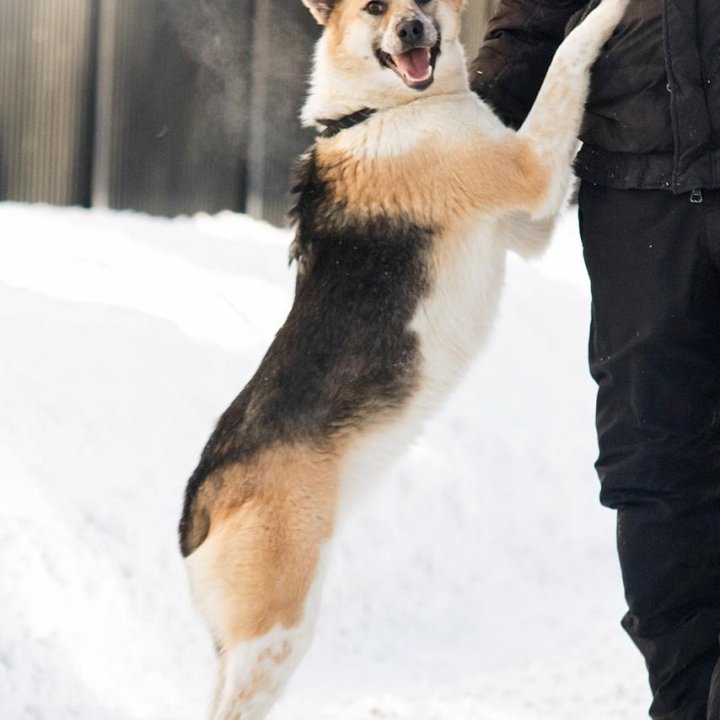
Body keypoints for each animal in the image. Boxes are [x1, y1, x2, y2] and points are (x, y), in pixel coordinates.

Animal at [180, 1, 632, 720]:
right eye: (374, 8)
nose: (412, 29)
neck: (380, 110)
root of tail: (203, 498)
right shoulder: (531, 164)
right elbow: (569, 58)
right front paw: (606, 11)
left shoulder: (528, 222)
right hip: (275, 636)